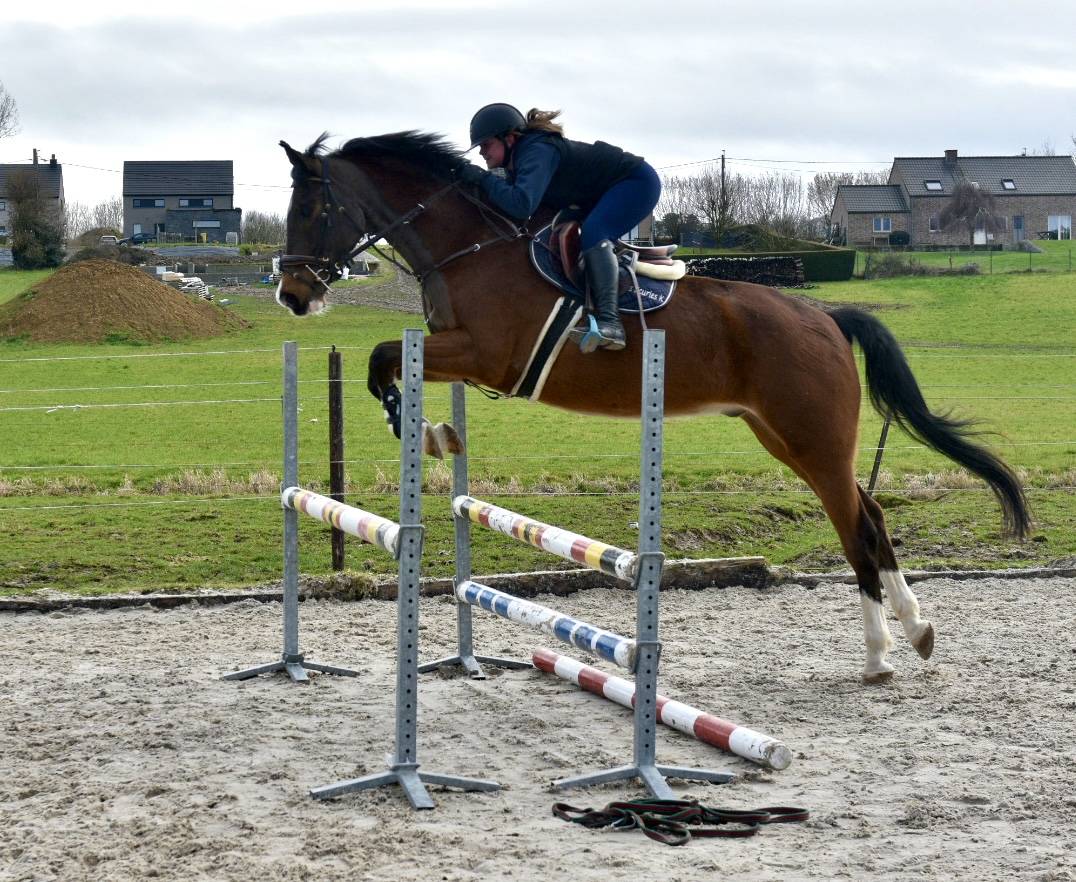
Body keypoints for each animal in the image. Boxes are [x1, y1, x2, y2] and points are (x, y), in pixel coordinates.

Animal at [275, 131, 1030, 683]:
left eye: (312, 210)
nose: (292, 295)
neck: (470, 247)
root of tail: (825, 316)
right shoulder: (455, 351)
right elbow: (382, 362)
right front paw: (428, 429)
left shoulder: (489, 356)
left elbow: (381, 358)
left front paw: (417, 427)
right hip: (783, 436)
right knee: (869, 512)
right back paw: (917, 629)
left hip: (812, 439)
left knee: (855, 526)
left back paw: (878, 655)